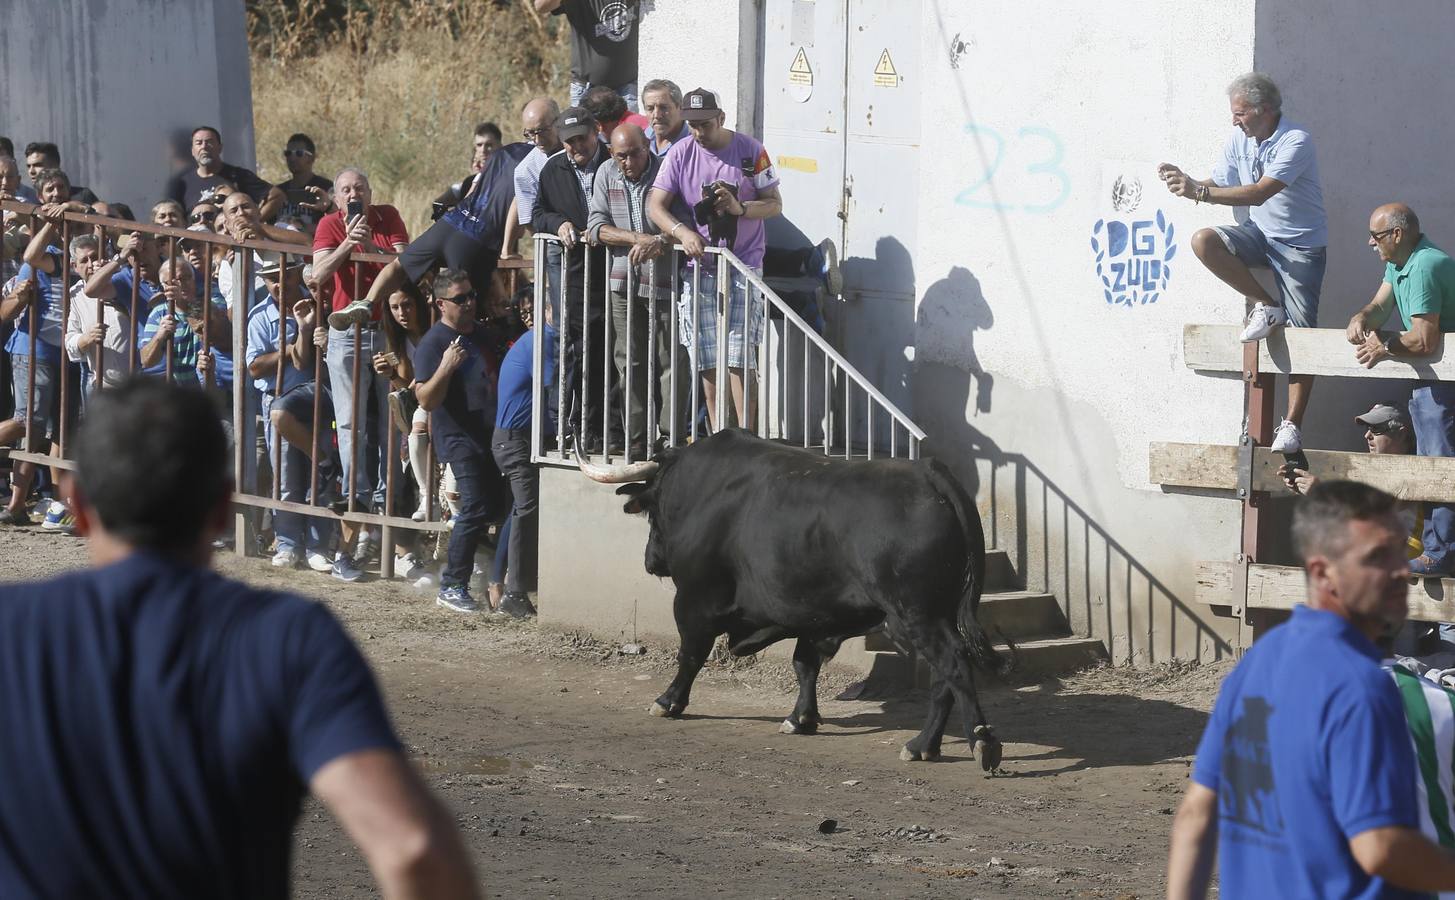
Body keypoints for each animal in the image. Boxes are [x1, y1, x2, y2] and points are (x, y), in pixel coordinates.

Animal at [579, 430, 1012, 767]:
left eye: (652, 511)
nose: (651, 561)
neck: (700, 489)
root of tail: (929, 473)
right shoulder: (815, 614)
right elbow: (805, 664)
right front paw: (801, 718)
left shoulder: (694, 601)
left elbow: (690, 655)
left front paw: (668, 701)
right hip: (936, 615)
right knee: (943, 676)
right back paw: (928, 745)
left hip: (918, 615)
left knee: (954, 665)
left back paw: (976, 741)